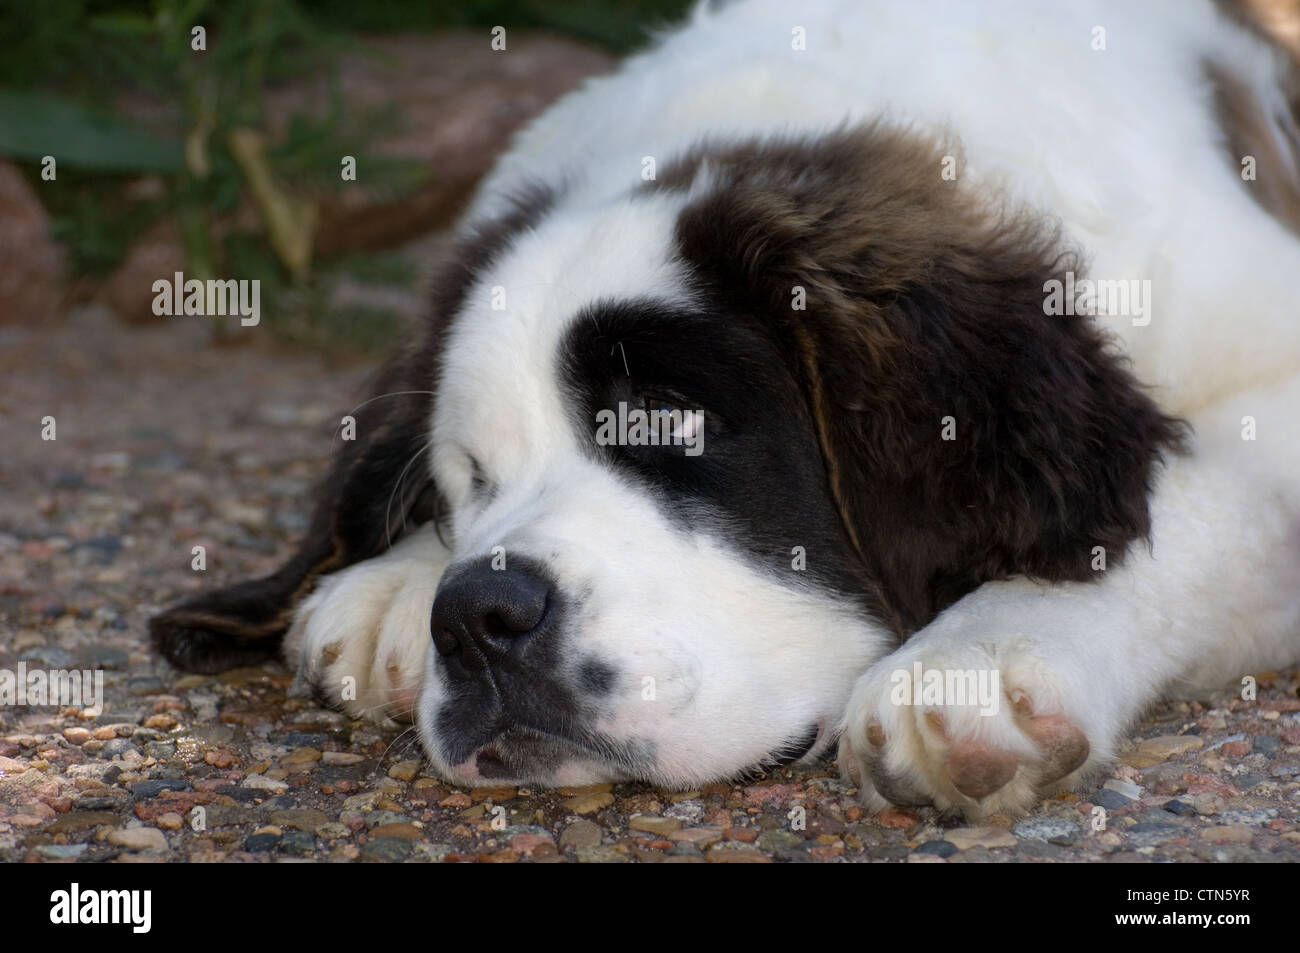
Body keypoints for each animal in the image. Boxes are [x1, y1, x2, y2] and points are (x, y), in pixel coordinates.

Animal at [152, 0, 1300, 816]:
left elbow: (1189, 498)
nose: (475, 616)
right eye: (469, 480)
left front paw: (981, 656)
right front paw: (392, 581)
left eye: (667, 420)